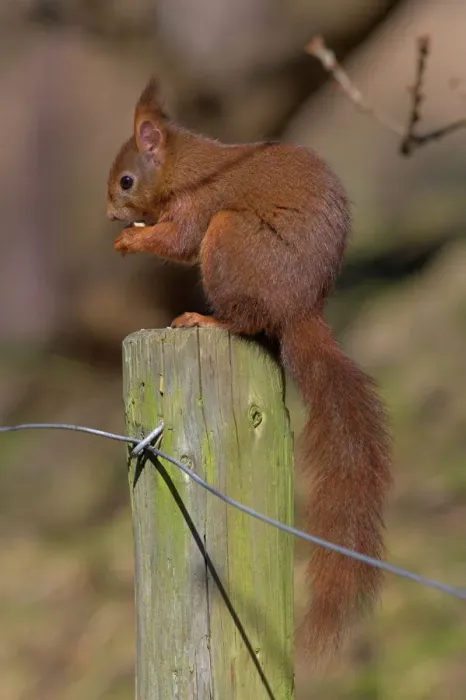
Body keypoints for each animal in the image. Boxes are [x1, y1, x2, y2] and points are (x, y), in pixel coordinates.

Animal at [107, 78, 392, 661]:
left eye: (126, 180)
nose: (109, 214)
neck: (187, 167)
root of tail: (300, 309)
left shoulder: (199, 207)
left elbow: (178, 240)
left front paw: (133, 239)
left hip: (228, 236)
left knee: (244, 319)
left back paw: (205, 319)